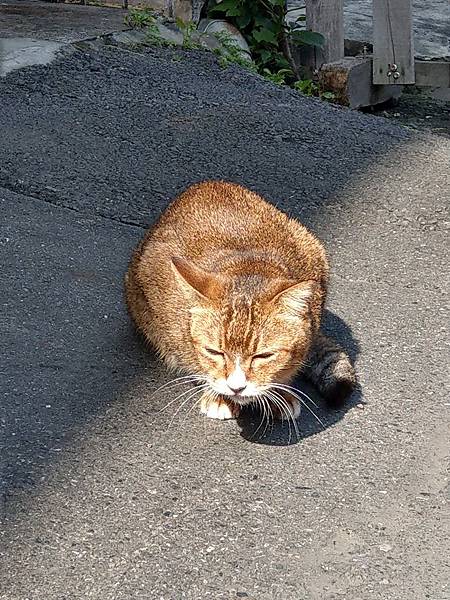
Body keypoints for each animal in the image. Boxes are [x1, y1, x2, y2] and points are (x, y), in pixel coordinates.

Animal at [124, 183, 356, 422]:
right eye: (214, 352)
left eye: (264, 356)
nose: (236, 388)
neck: (248, 266)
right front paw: (217, 395)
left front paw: (279, 392)